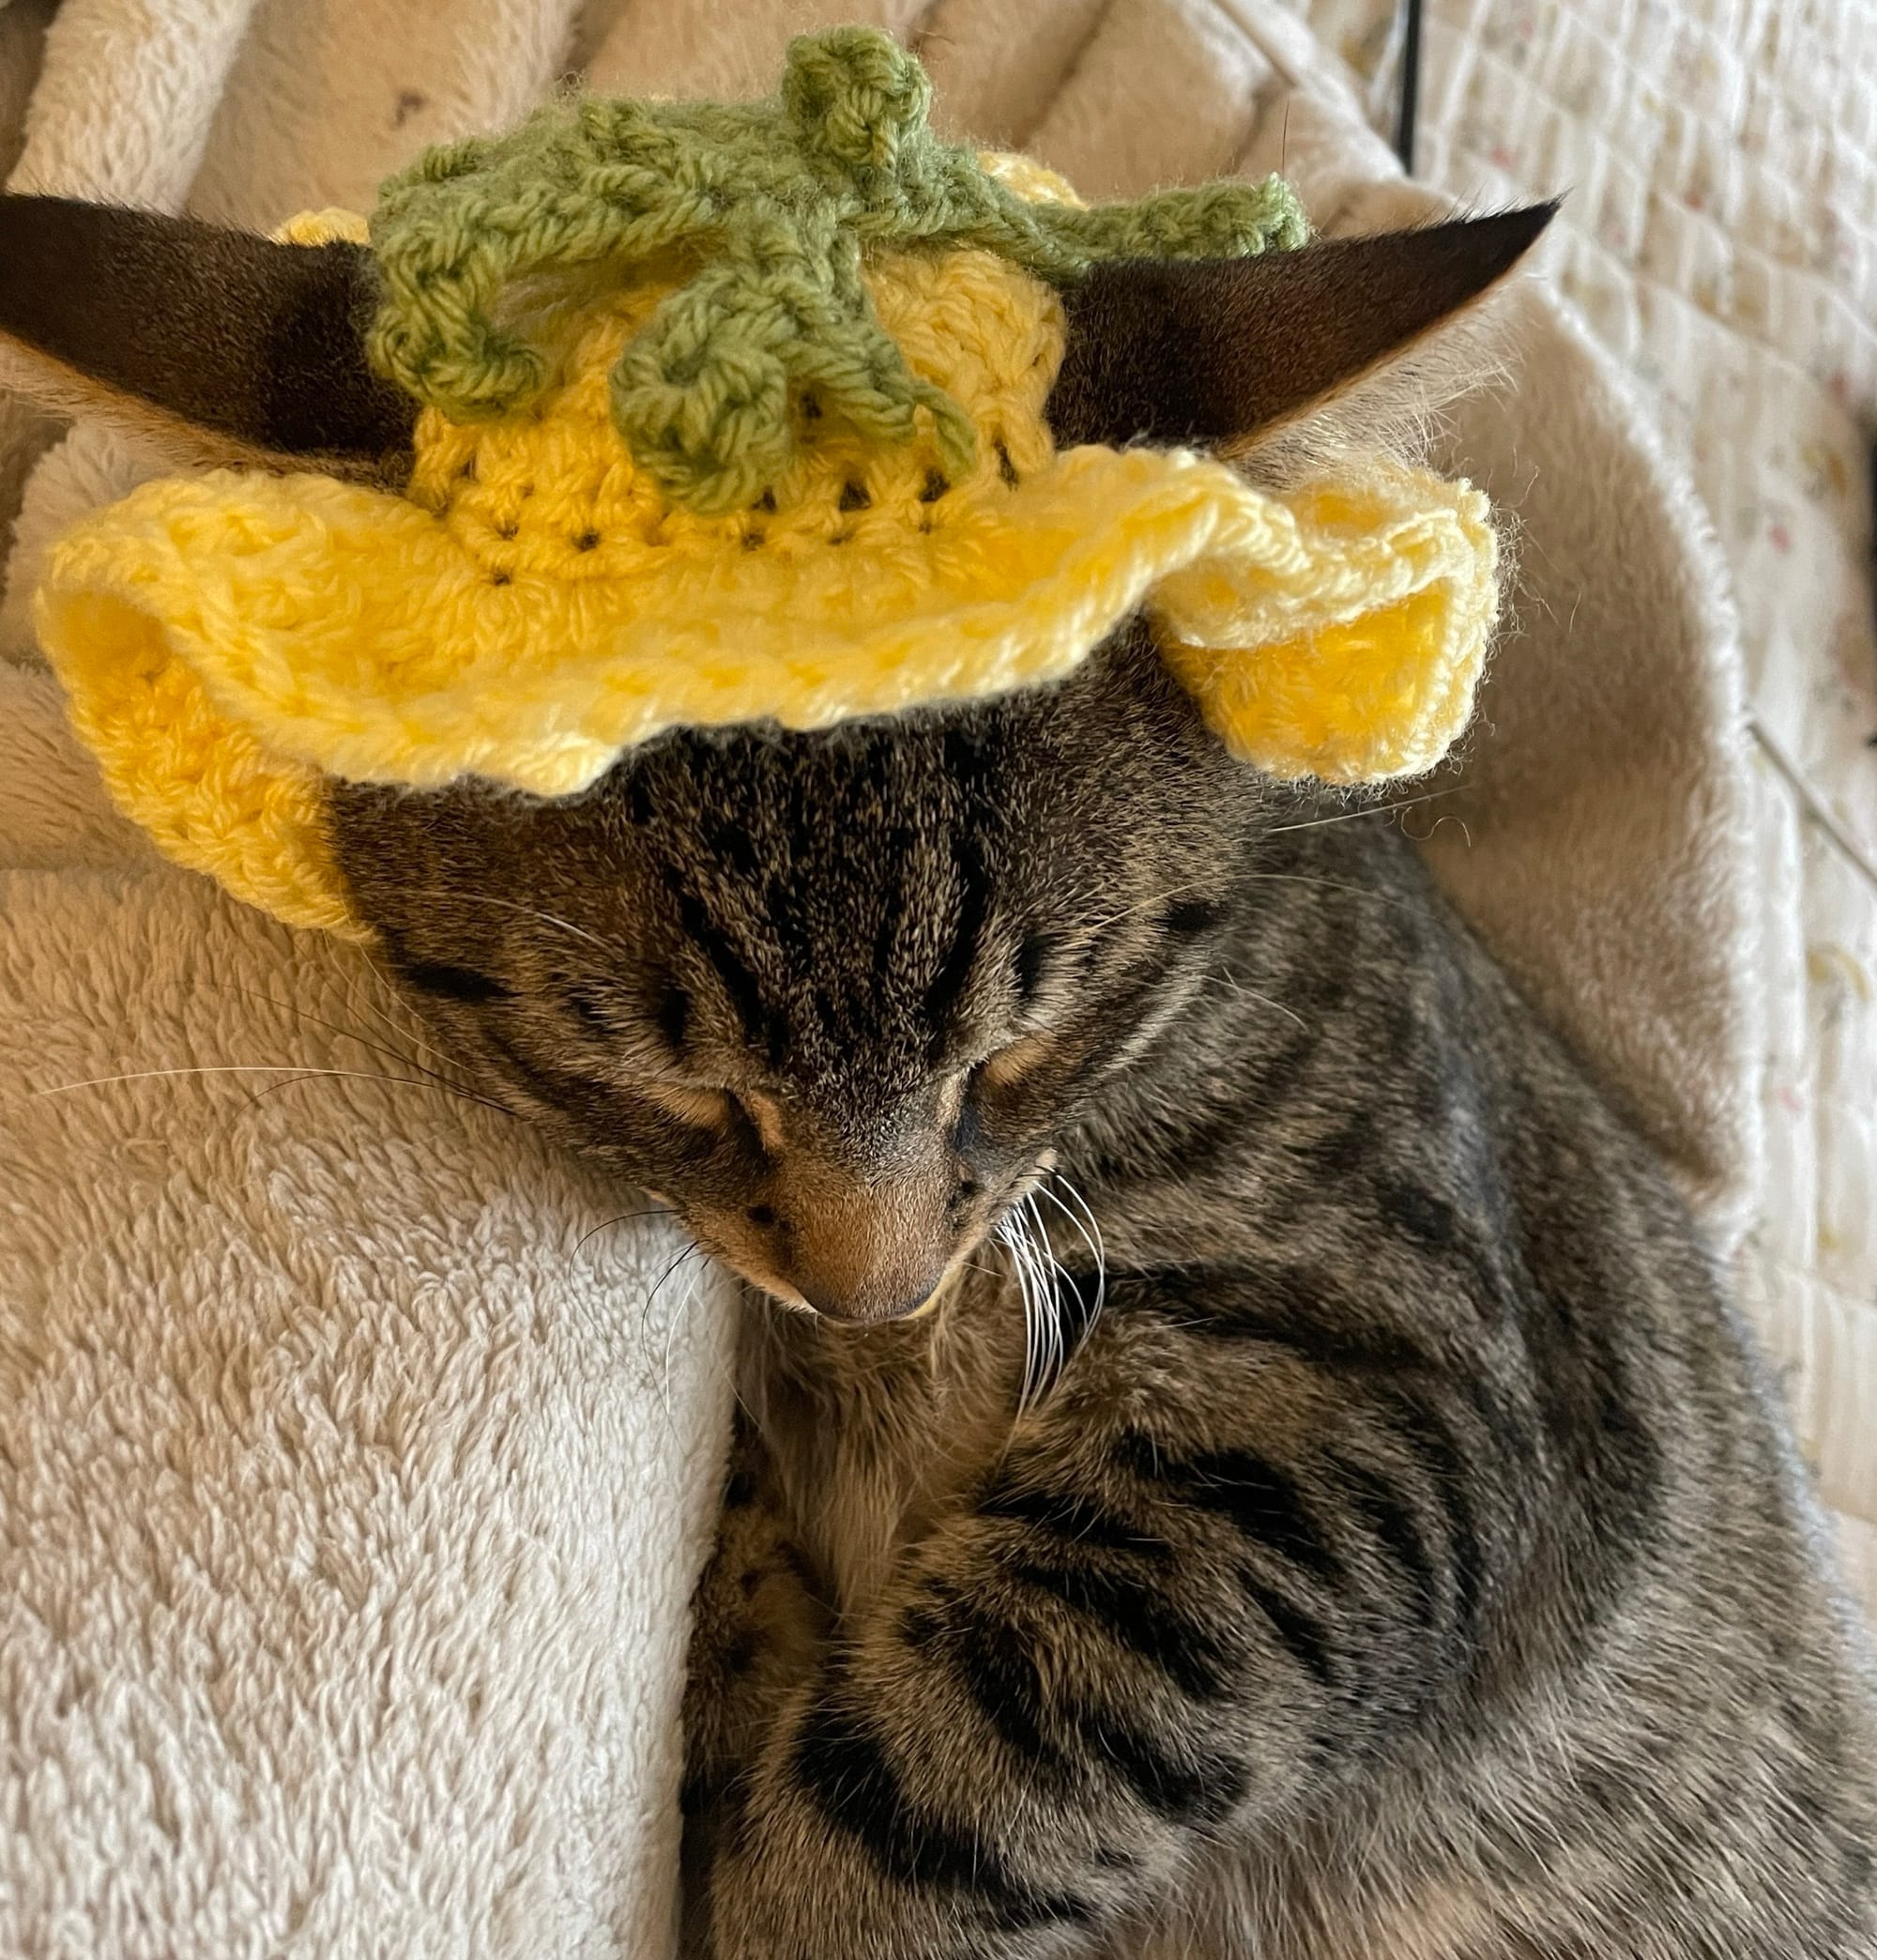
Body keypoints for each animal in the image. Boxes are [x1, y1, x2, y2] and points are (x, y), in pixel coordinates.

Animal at [3, 187, 1877, 1960]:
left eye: (1025, 1047)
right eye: (677, 1087)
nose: (873, 1290)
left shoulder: (1370, 1367)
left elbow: (982, 1752)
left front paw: (787, 1887)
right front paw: (741, 1653)